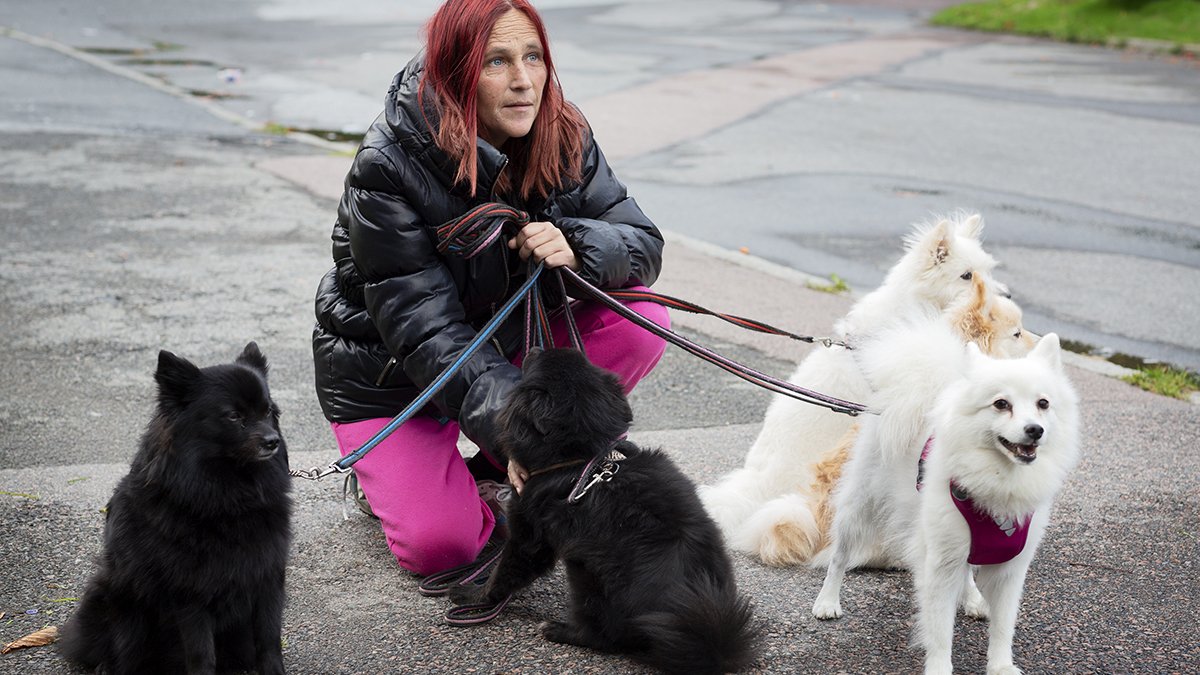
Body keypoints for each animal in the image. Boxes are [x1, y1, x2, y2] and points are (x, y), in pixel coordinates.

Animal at [60, 343, 292, 667]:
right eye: (234, 416)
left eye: (267, 411)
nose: (272, 441)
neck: (227, 493)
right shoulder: (189, 593)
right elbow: (200, 653)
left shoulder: (268, 577)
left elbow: (270, 641)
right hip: (121, 602)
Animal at [451, 345, 758, 672]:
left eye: (537, 362)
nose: (534, 346)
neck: (583, 458)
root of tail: (707, 649)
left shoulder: (529, 536)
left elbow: (504, 571)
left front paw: (470, 594)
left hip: (586, 573)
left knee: (603, 636)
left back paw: (559, 630)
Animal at [816, 331, 1080, 672]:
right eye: (1001, 404)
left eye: (1043, 403)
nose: (1035, 429)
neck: (999, 479)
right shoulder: (940, 563)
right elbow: (940, 629)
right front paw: (940, 667)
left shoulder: (1011, 567)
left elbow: (1004, 625)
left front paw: (1000, 665)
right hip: (861, 504)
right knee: (839, 556)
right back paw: (827, 601)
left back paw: (973, 598)